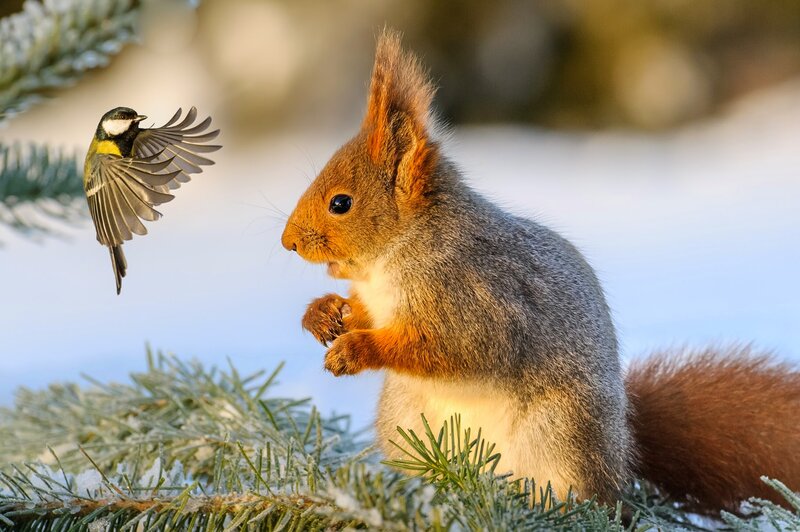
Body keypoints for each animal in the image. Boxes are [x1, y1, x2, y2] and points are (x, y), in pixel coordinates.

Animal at [280, 29, 800, 512]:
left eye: (341, 203)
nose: (287, 242)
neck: (392, 259)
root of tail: (623, 450)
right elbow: (364, 313)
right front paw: (324, 313)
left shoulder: (475, 298)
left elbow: (449, 348)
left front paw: (356, 349)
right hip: (407, 421)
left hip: (560, 434)